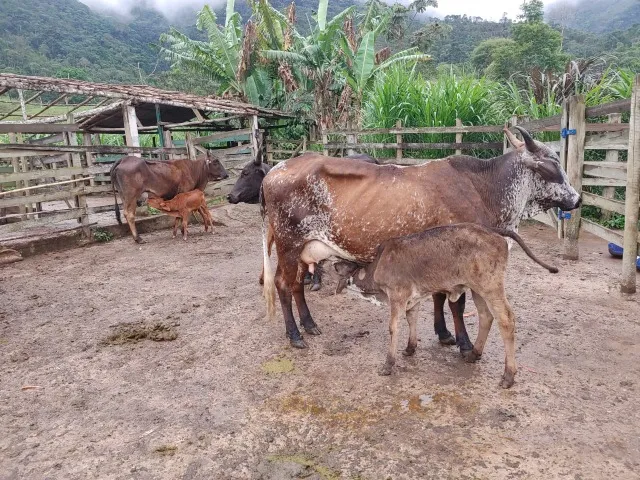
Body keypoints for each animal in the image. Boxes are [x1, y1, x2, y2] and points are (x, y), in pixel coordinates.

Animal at [260, 126, 581, 351]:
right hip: (289, 244)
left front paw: (444, 333)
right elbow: (456, 304)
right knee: (283, 285)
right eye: (551, 164)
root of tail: (275, 169)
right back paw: (295, 335)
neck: (485, 187)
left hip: (303, 249)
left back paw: (309, 324)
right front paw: (464, 343)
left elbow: (439, 297)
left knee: (297, 285)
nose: (577, 199)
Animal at [332, 223, 558, 388]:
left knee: (506, 320)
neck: (378, 265)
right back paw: (474, 354)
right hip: (477, 288)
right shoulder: (413, 299)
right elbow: (411, 319)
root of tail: (492, 231)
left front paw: (388, 364)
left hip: (491, 286)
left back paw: (508, 375)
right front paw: (410, 348)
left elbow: (393, 328)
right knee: (486, 316)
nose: (334, 266)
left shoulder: (397, 295)